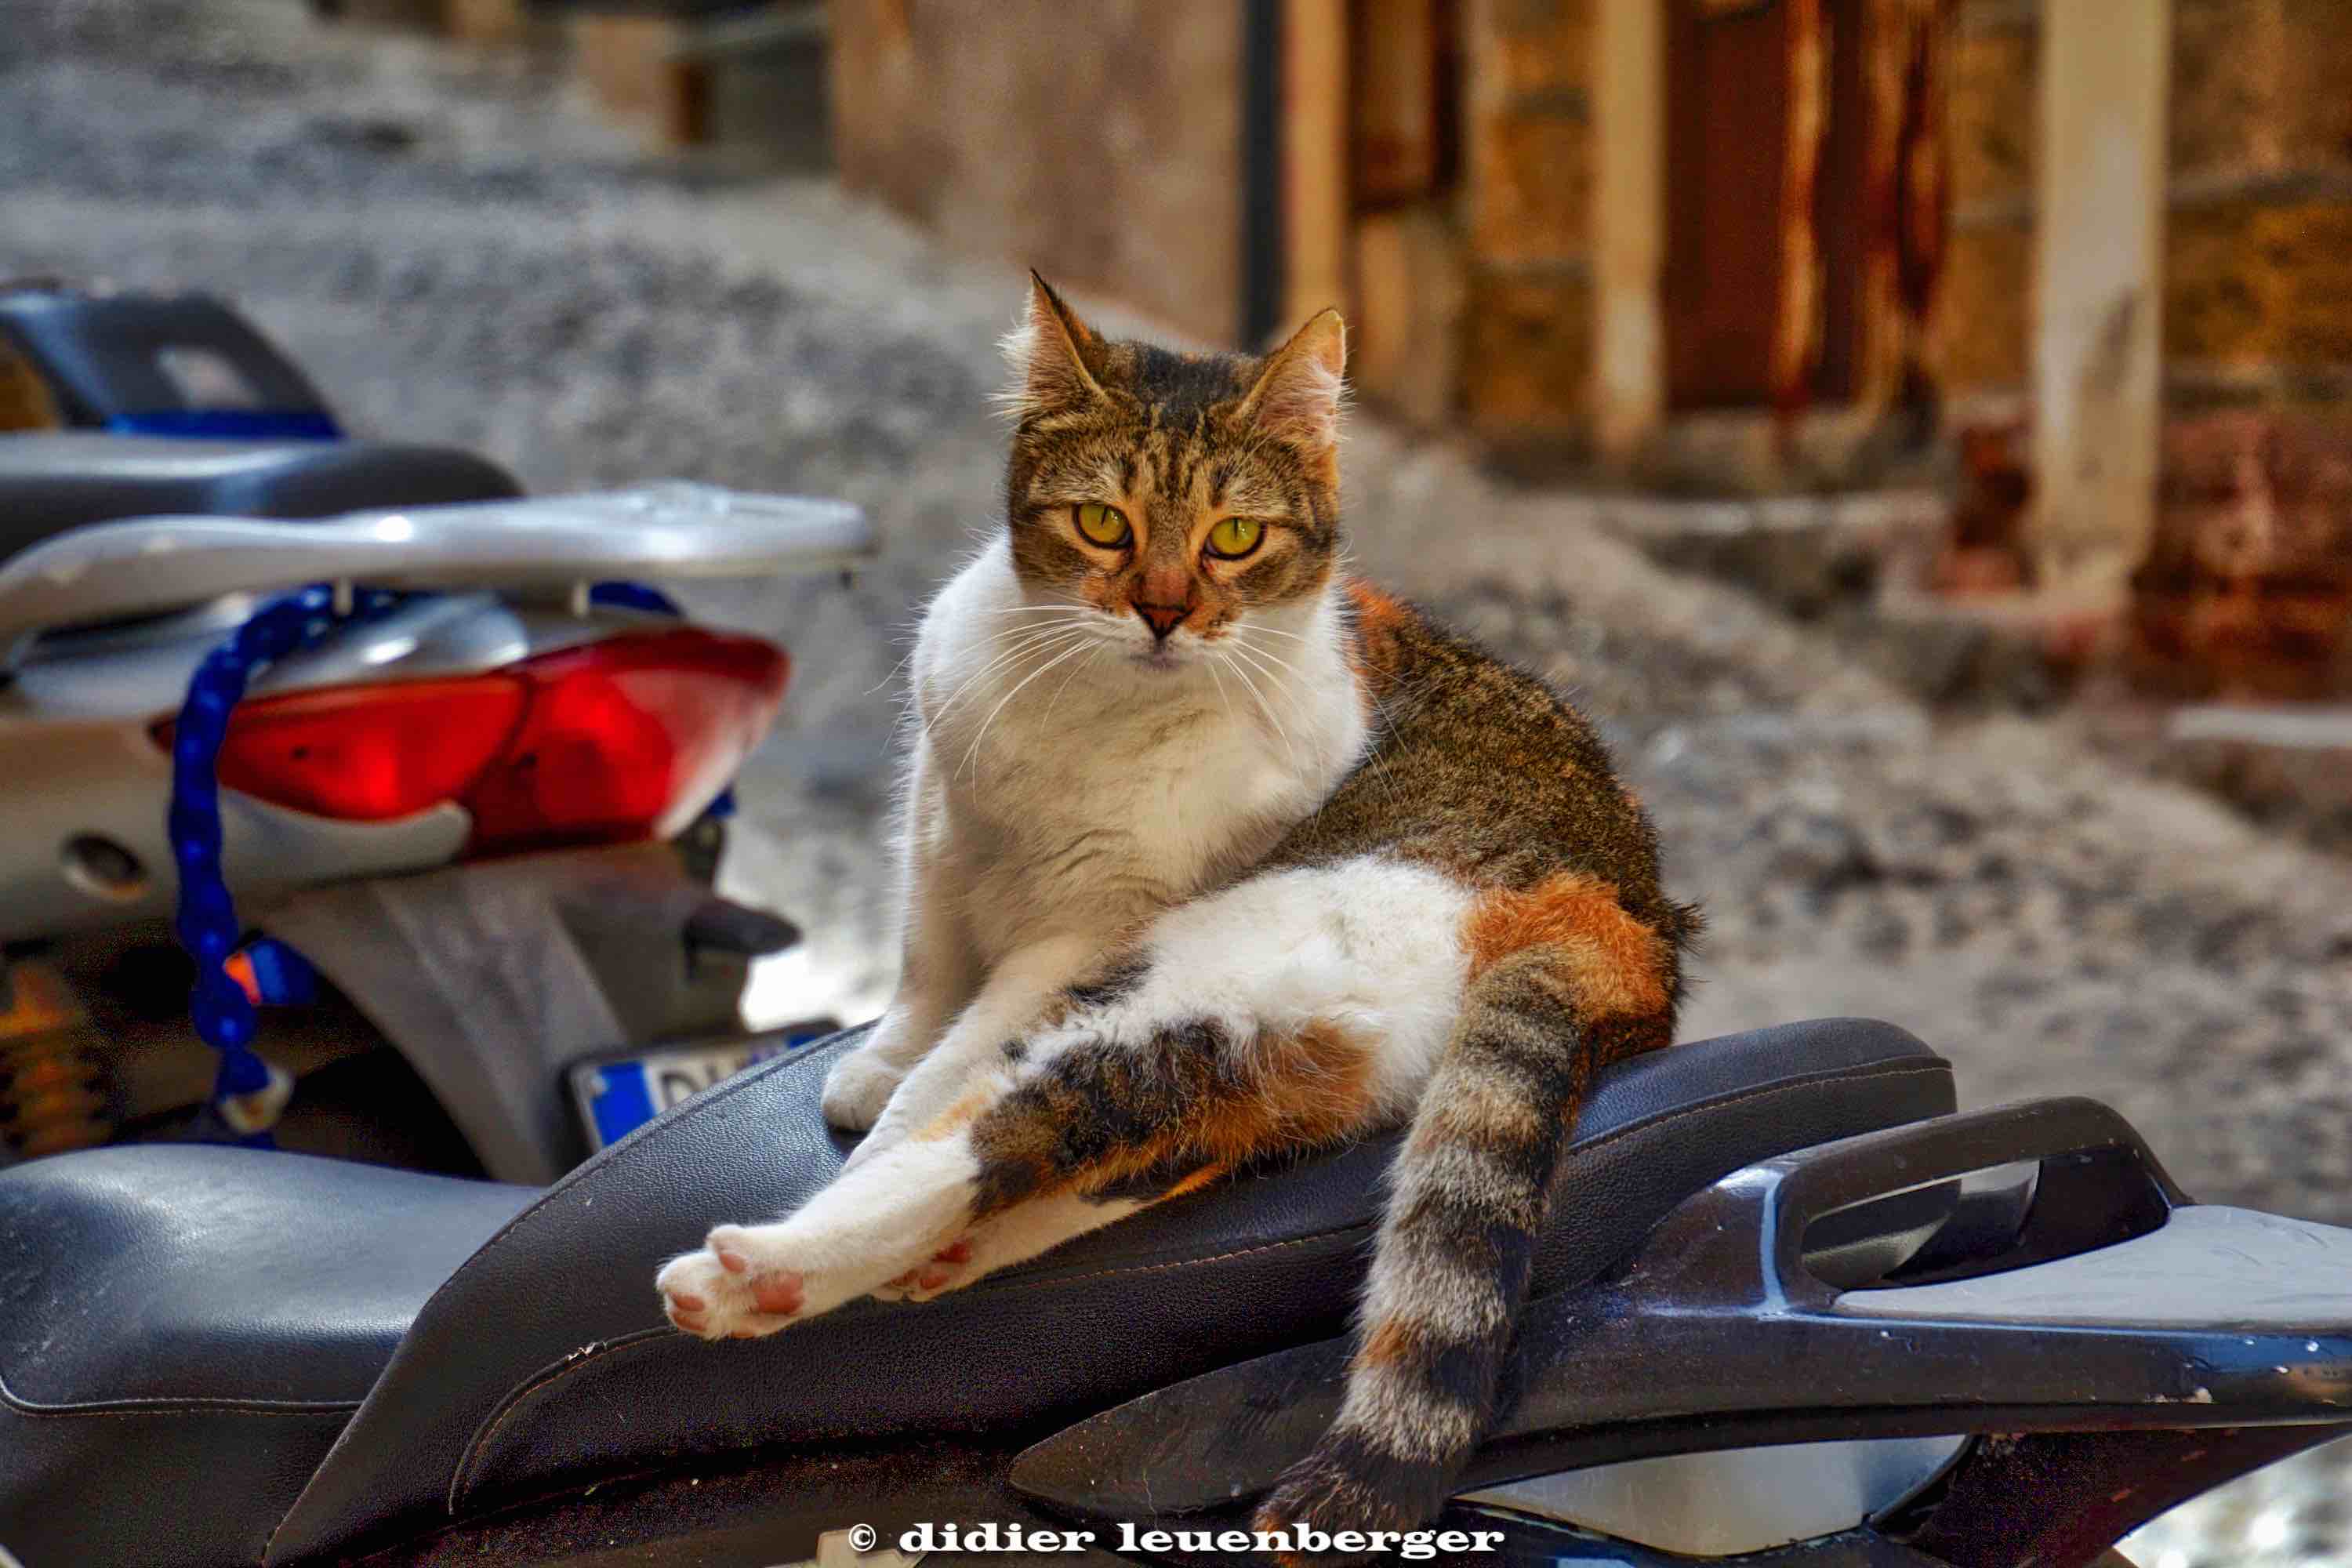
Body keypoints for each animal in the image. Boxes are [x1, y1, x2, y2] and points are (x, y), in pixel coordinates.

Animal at [654, 276, 1703, 1542]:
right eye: (1104, 524)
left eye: (1233, 538)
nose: (1161, 610)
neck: (1090, 707)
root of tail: (1621, 915)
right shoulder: (942, 821)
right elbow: (924, 964)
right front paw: (880, 1056)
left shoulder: (1086, 923)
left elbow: (949, 1065)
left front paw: (887, 1106)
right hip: (1282, 1043)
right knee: (1114, 1141)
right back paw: (925, 1262)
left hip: (1199, 961)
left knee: (1004, 1125)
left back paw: (763, 1275)